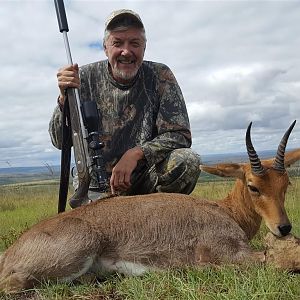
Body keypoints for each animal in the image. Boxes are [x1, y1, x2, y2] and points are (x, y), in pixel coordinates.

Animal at [0, 122, 300, 292]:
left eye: (285, 183)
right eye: (253, 185)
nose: (284, 227)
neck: (224, 210)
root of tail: (11, 251)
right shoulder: (233, 253)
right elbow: (272, 261)